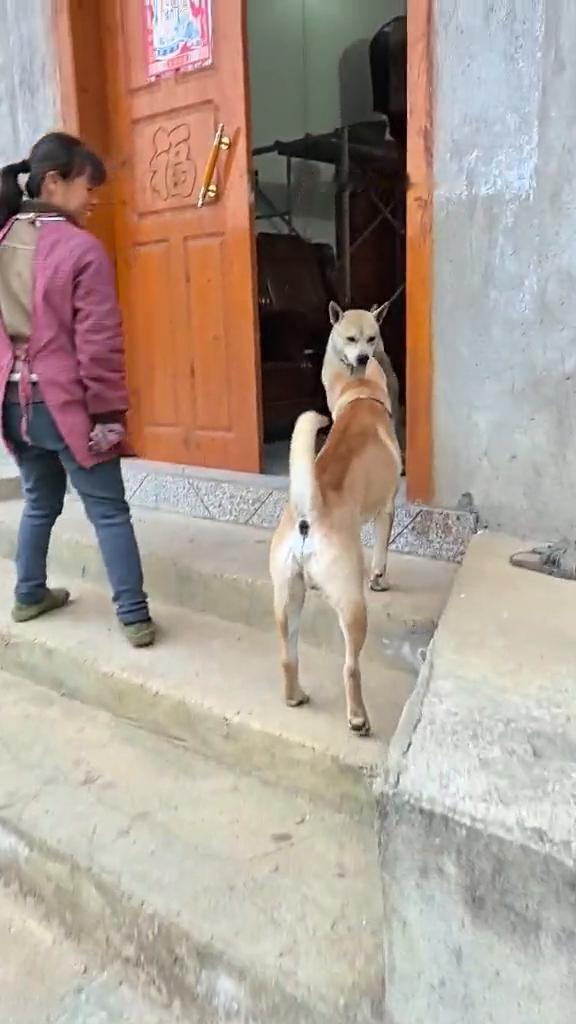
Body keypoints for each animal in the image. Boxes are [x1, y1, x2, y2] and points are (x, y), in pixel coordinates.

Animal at [268, 356, 399, 733]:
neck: (361, 402)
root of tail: (307, 514)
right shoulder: (386, 509)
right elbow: (382, 551)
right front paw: (380, 579)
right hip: (352, 603)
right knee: (351, 667)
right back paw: (358, 718)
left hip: (286, 597)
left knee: (288, 656)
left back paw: (295, 696)